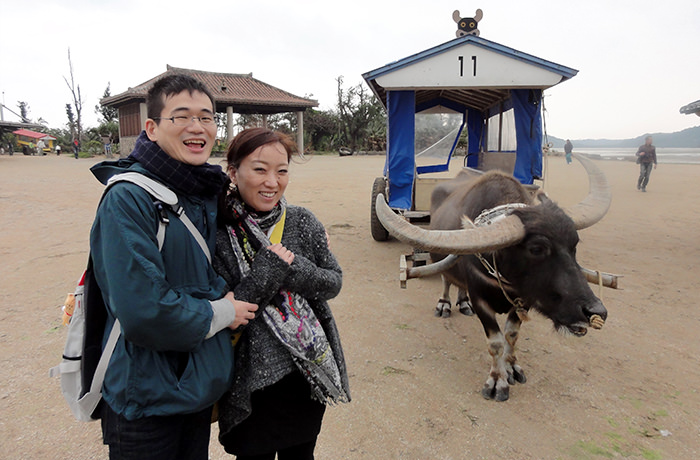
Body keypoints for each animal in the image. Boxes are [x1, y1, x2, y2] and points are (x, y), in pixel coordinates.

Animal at [374, 154, 608, 398]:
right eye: (536, 249)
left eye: (574, 244)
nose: (595, 311)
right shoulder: (481, 301)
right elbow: (495, 342)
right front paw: (497, 381)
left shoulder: (523, 301)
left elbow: (511, 336)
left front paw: (512, 367)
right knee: (446, 279)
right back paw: (445, 304)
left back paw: (463, 302)